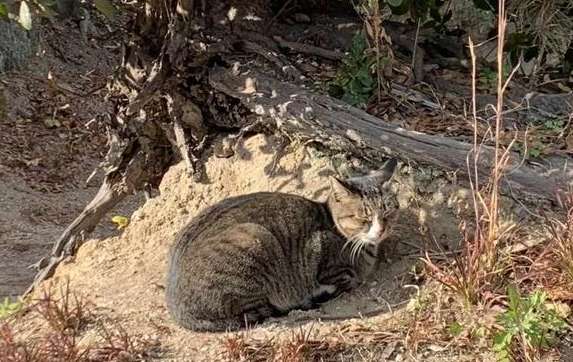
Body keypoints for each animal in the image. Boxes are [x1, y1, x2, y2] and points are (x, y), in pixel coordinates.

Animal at [164, 158, 398, 330]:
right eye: (364, 218)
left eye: (388, 213)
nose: (381, 230)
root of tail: (178, 311)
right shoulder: (323, 260)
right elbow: (347, 278)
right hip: (254, 239)